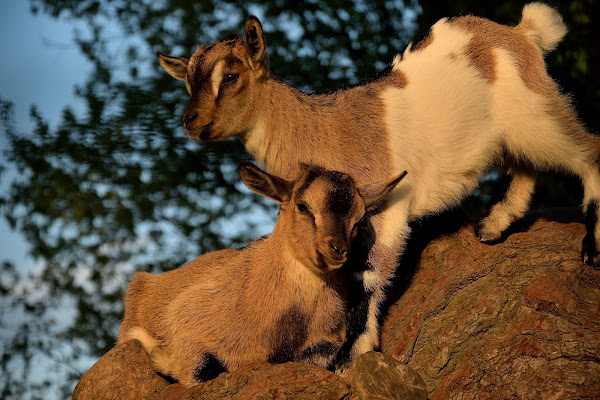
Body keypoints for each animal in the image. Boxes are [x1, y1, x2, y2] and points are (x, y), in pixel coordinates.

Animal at [117, 161, 408, 386]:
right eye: (303, 206)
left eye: (358, 220)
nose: (337, 249)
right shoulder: (188, 321)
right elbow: (199, 368)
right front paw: (161, 358)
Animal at [159, 3, 600, 372]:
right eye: (188, 84)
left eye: (231, 77)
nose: (190, 121)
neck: (318, 127)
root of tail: (520, 32)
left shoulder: (384, 207)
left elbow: (368, 274)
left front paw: (351, 354)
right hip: (513, 132)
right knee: (525, 168)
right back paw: (492, 227)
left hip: (534, 111)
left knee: (587, 151)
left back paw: (591, 249)